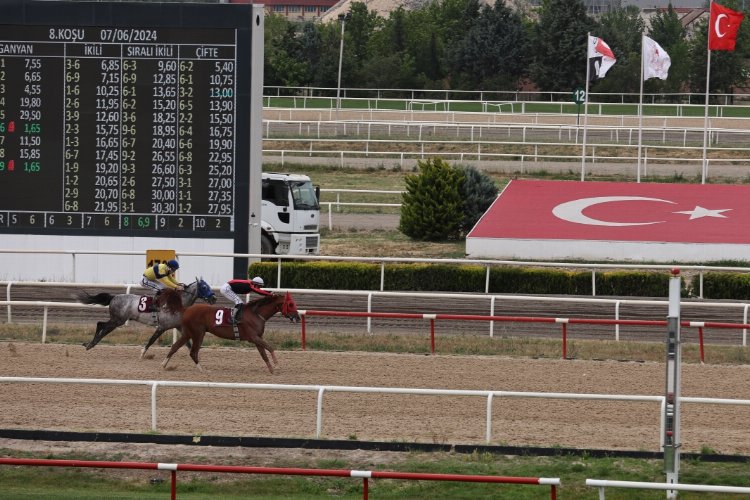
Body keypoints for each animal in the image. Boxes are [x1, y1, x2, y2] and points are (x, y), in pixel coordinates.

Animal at [77, 278, 216, 356]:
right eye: (204, 287)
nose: (214, 298)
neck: (177, 303)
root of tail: (114, 297)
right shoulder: (162, 327)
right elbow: (151, 340)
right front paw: (142, 353)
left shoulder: (178, 326)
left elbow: (187, 343)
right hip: (118, 320)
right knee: (101, 325)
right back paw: (90, 344)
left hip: (117, 320)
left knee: (102, 326)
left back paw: (90, 344)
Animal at [164, 292, 300, 374]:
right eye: (291, 304)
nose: (298, 318)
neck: (256, 313)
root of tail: (187, 309)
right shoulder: (253, 337)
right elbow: (270, 347)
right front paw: (277, 365)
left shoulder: (257, 338)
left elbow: (263, 354)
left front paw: (271, 369)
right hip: (198, 333)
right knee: (193, 352)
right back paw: (203, 370)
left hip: (188, 333)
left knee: (175, 346)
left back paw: (164, 364)